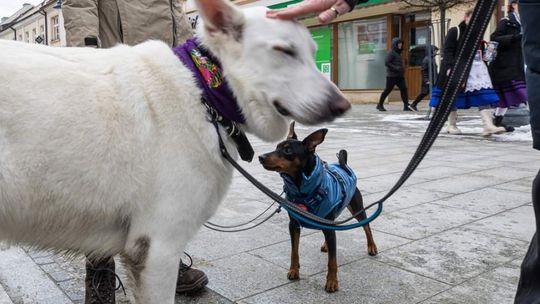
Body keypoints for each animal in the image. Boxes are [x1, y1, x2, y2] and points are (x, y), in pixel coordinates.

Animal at [260, 122, 378, 294]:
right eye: (276, 147)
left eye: (288, 150)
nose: (261, 157)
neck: (301, 188)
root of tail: (344, 165)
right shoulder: (293, 225)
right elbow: (294, 251)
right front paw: (293, 271)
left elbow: (332, 261)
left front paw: (332, 282)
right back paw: (326, 245)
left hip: (357, 208)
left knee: (366, 226)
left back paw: (372, 247)